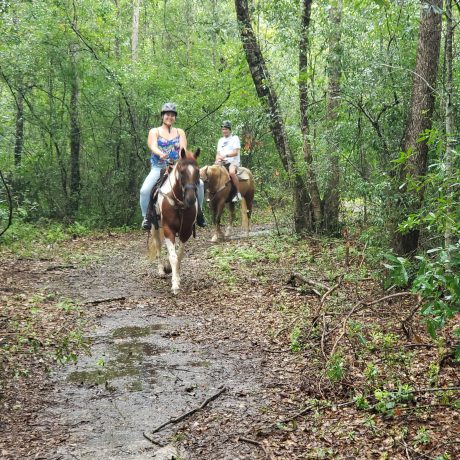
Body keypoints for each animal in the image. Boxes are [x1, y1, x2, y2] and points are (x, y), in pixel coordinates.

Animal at [148, 149, 200, 296]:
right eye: (182, 172)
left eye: (198, 171)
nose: (190, 199)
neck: (179, 204)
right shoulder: (168, 230)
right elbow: (173, 256)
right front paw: (175, 285)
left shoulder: (186, 231)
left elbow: (180, 255)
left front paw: (177, 276)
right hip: (155, 228)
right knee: (158, 246)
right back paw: (161, 270)